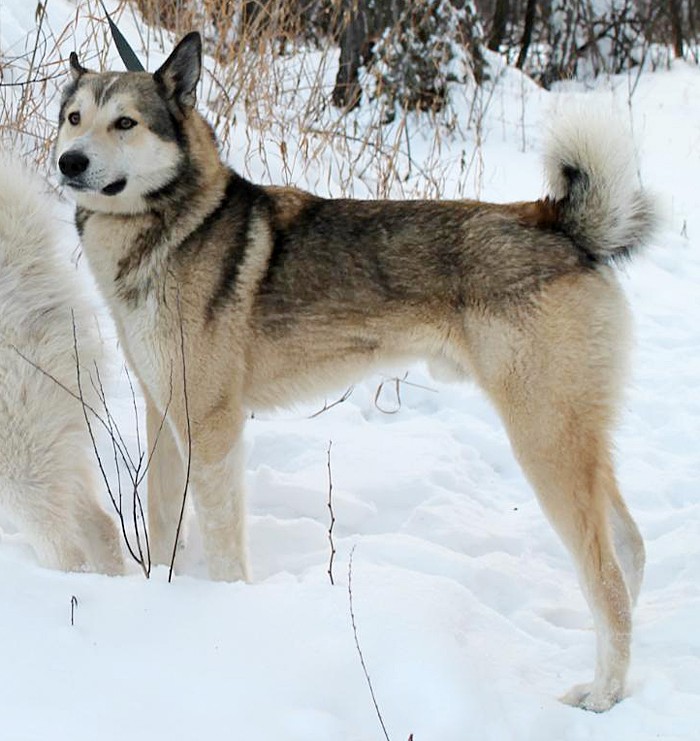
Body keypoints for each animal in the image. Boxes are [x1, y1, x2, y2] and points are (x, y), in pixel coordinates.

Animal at [55, 32, 656, 711]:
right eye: (74, 118)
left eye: (124, 123)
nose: (69, 162)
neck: (171, 226)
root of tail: (561, 224)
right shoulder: (163, 412)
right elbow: (163, 528)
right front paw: (164, 594)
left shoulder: (211, 427)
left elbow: (221, 540)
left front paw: (225, 616)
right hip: (573, 438)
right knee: (630, 549)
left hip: (544, 439)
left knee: (606, 575)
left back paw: (604, 693)